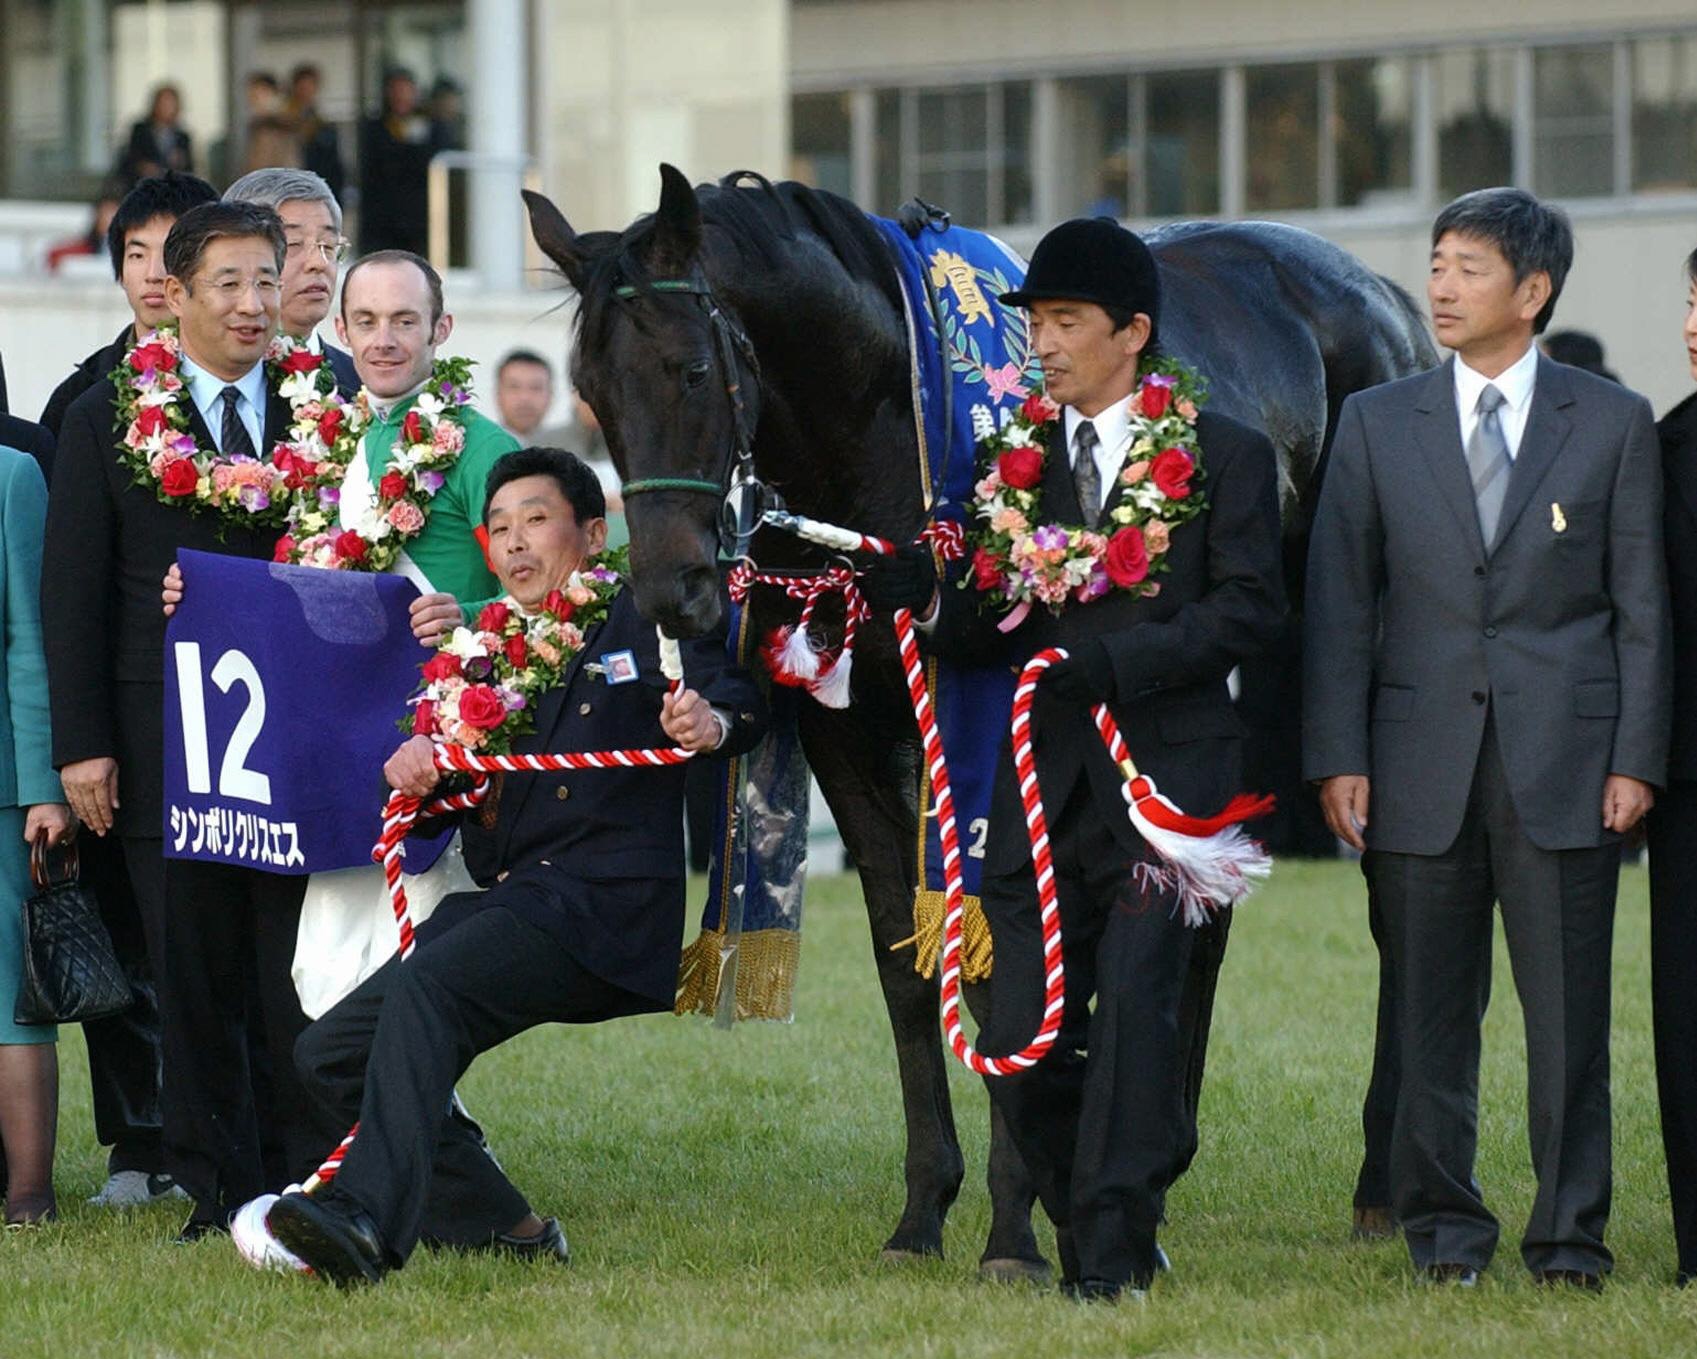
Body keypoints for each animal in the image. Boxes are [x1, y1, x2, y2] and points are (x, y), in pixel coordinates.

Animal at [522, 169, 1439, 1275]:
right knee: (1204, 895)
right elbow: (904, 965)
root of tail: (1384, 303)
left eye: (691, 368)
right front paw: (925, 1209)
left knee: (1384, 900)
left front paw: (1012, 1227)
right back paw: (1162, 1162)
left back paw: (1375, 1186)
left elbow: (1003, 950)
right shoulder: (846, 738)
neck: (883, 431)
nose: (674, 592)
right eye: (593, 391)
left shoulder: (991, 728)